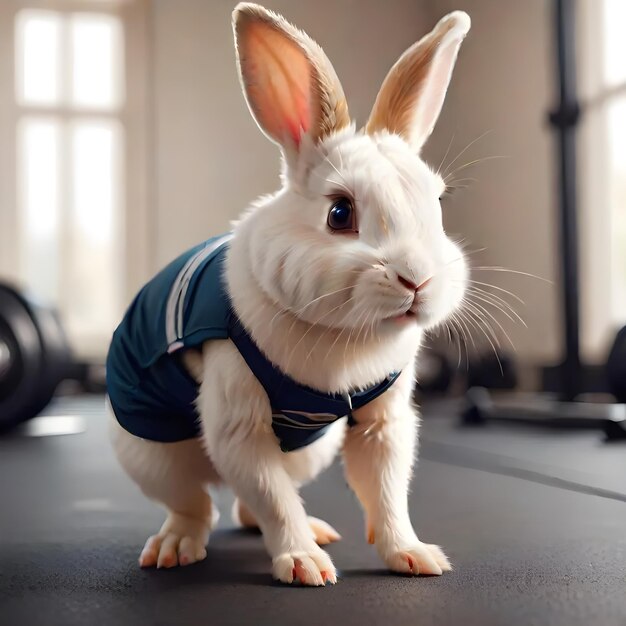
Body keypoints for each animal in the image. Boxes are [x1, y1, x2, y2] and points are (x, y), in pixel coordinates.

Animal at [107, 3, 468, 584]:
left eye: (437, 204)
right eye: (340, 213)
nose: (418, 279)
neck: (346, 334)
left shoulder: (384, 425)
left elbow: (386, 492)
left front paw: (414, 557)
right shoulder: (237, 423)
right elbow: (272, 495)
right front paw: (304, 566)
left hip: (310, 451)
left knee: (247, 505)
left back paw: (316, 528)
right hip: (156, 456)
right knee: (198, 505)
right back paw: (174, 548)